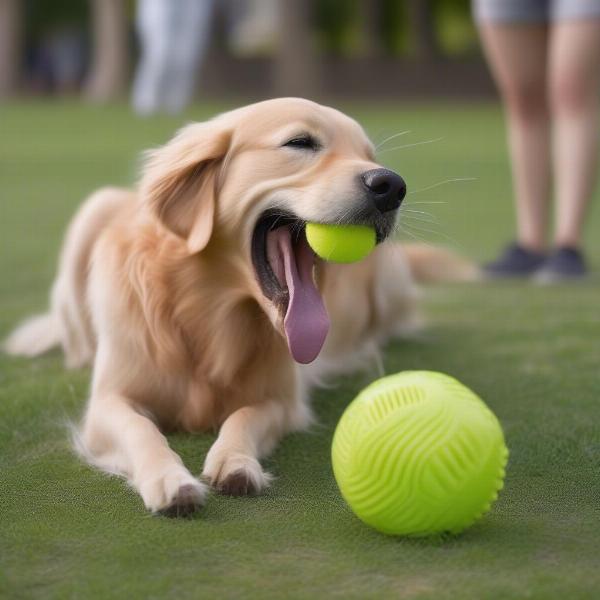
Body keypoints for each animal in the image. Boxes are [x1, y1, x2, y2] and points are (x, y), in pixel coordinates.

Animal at [3, 97, 474, 516]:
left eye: (368, 156)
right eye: (301, 142)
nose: (391, 186)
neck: (205, 312)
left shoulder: (282, 400)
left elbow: (244, 417)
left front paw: (235, 461)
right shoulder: (108, 402)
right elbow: (141, 429)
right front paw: (169, 479)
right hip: (94, 208)